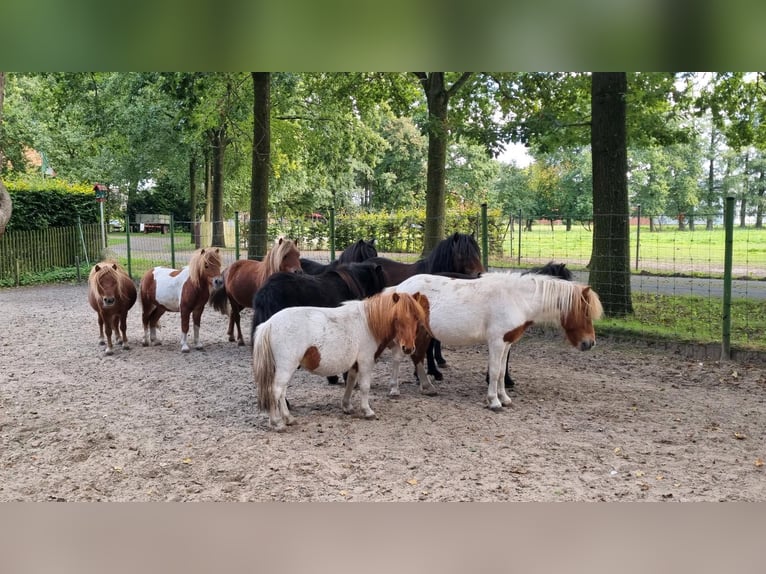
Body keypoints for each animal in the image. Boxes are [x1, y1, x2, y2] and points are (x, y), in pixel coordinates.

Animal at [254, 292, 428, 432]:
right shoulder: (366, 361)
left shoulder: (355, 364)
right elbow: (365, 387)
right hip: (286, 367)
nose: (408, 348)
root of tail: (269, 324)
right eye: (397, 318)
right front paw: (367, 411)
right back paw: (276, 423)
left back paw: (288, 418)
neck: (368, 323)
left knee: (282, 392)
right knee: (275, 391)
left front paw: (347, 406)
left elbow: (350, 382)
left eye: (416, 318)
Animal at [390, 274, 608, 412]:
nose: (590, 343)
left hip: (422, 334)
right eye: (585, 312)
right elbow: (494, 371)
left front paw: (505, 399)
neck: (516, 298)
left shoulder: (507, 342)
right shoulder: (496, 342)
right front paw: (494, 402)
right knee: (398, 359)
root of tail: (399, 288)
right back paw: (394, 390)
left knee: (417, 357)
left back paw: (427, 387)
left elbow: (502, 371)